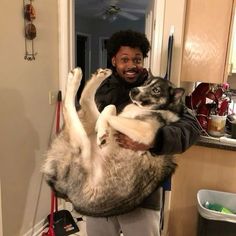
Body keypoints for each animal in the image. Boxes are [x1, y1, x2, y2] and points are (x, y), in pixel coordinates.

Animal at [42, 67, 186, 217]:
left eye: (156, 90)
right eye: (146, 82)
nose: (134, 90)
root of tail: (61, 191)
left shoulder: (146, 132)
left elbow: (111, 114)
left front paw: (102, 129)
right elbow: (111, 107)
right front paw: (102, 127)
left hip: (82, 147)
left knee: (68, 107)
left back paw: (75, 79)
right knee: (85, 101)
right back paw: (97, 76)